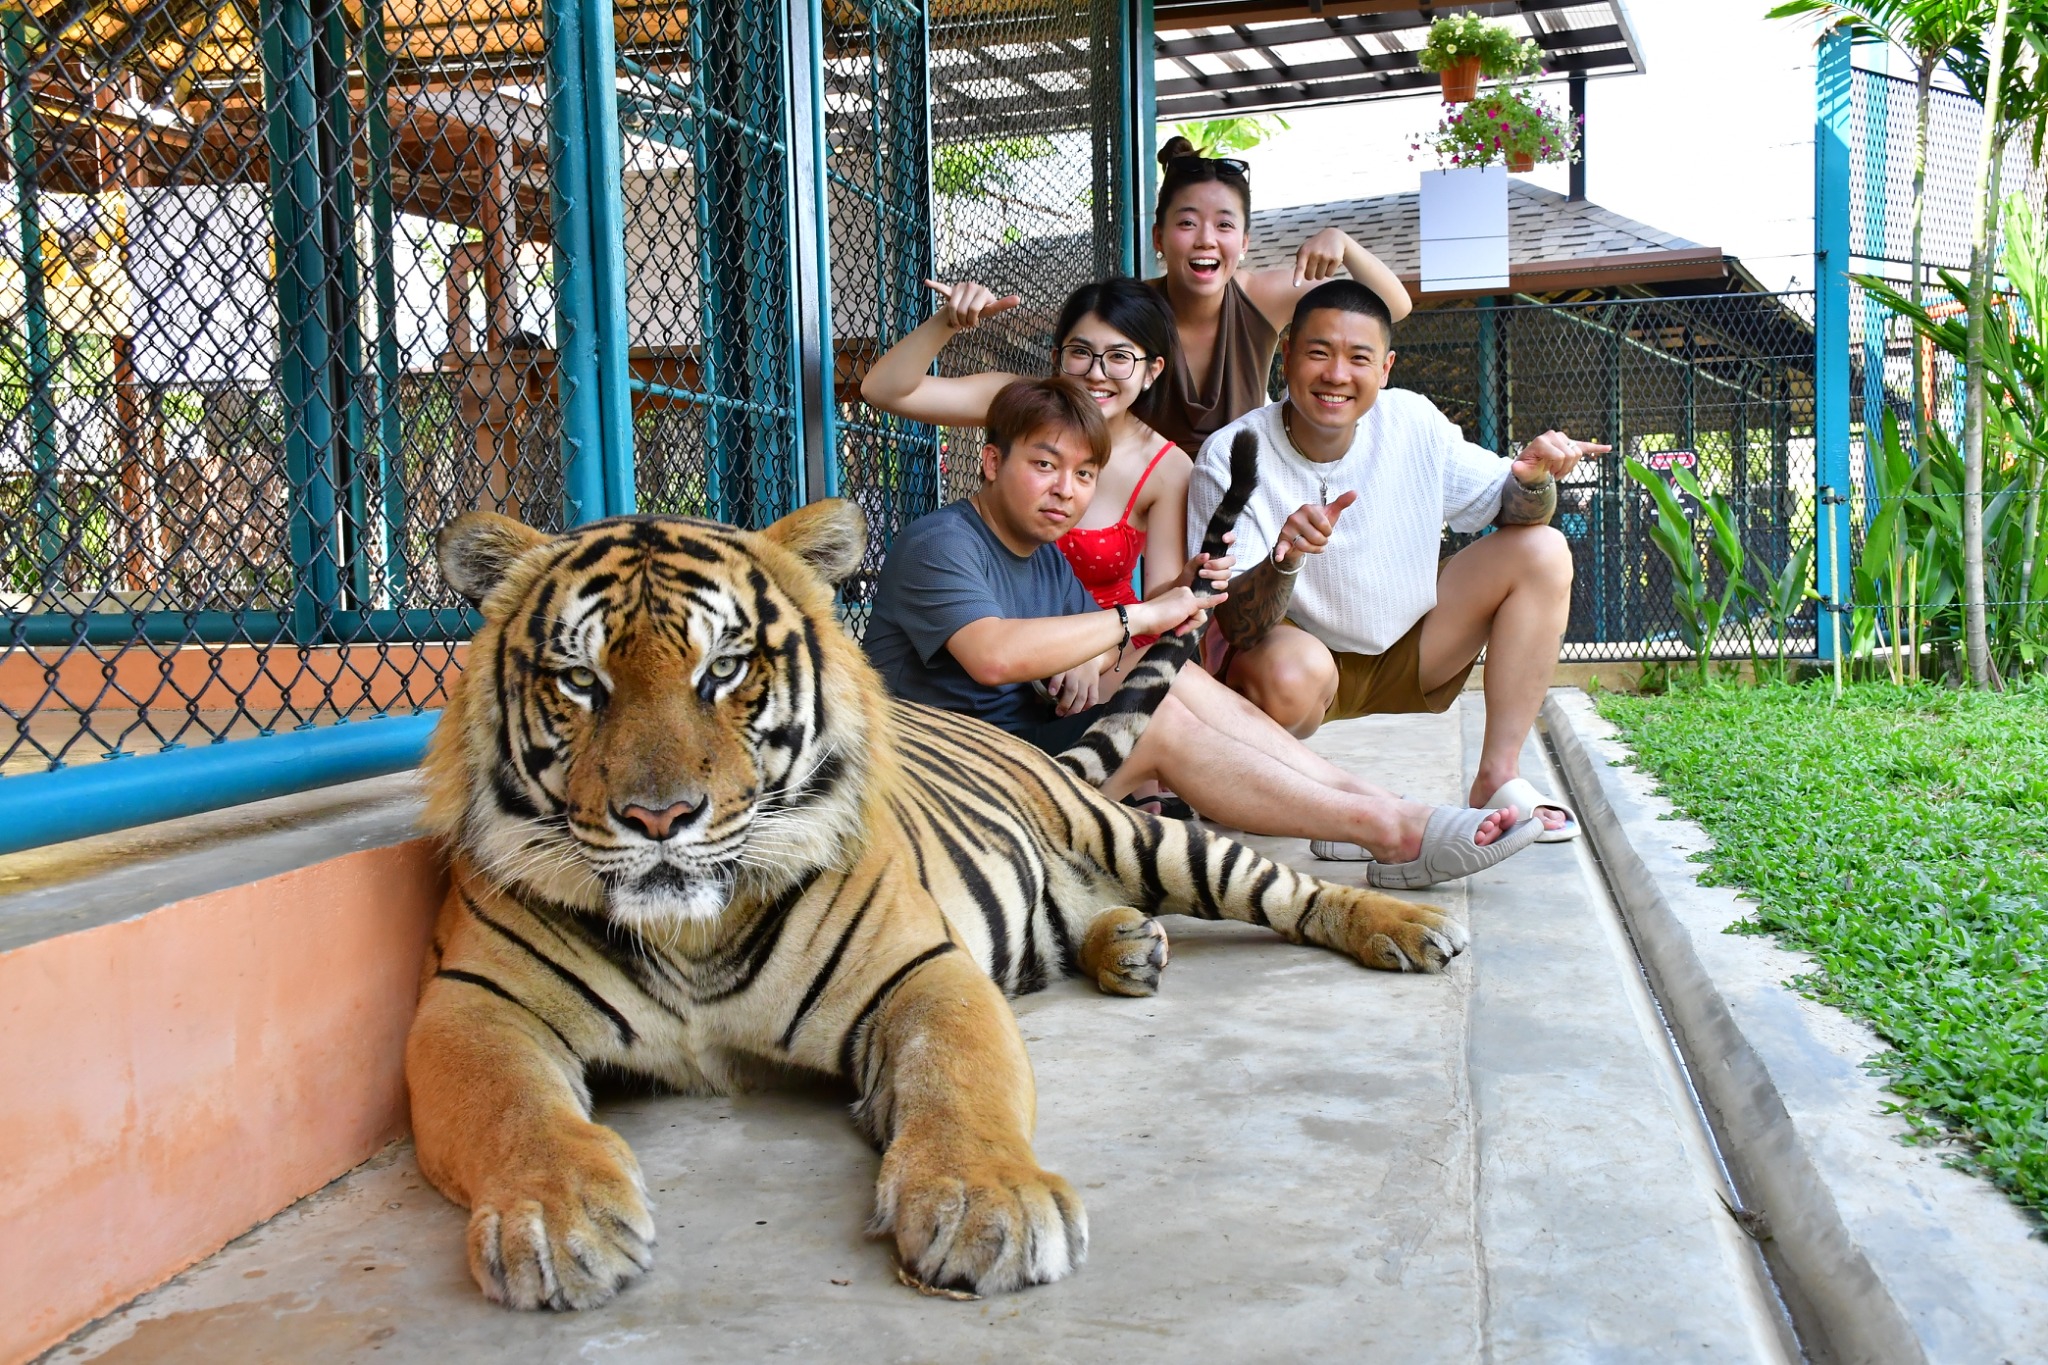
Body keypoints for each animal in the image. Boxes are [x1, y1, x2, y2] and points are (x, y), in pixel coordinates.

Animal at [407, 439, 1468, 1310]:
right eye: (580, 681)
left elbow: (959, 1079)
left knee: (1282, 886)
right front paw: (557, 1221)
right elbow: (511, 1109)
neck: (692, 936)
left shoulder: (919, 969)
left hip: (1143, 837)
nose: (659, 817)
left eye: (726, 669)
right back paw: (1130, 945)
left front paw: (987, 1204)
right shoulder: (468, 1004)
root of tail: (1028, 745)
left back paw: (1409, 924)